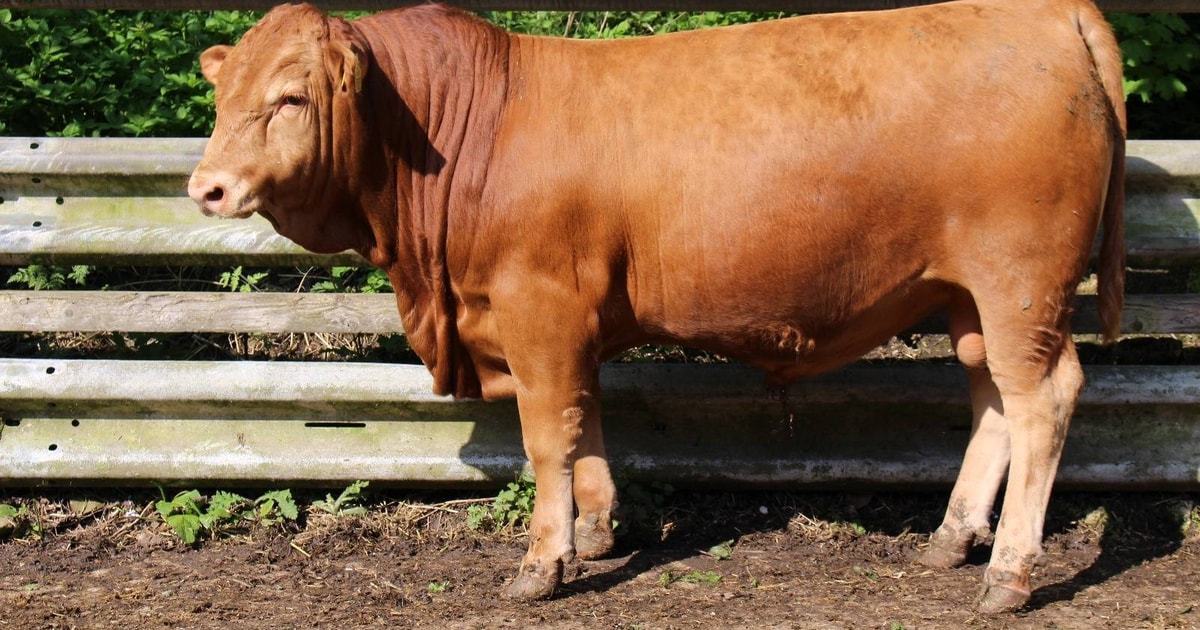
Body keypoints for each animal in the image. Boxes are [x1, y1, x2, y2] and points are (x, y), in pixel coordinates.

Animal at [188, 0, 1126, 613]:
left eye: (291, 96)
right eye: (223, 97)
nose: (206, 188)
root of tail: (1050, 12)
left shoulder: (538, 308)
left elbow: (548, 435)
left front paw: (543, 562)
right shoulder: (571, 319)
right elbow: (587, 419)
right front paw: (600, 529)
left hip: (1020, 284)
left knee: (1042, 400)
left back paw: (1008, 574)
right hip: (970, 296)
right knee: (992, 396)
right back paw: (952, 539)